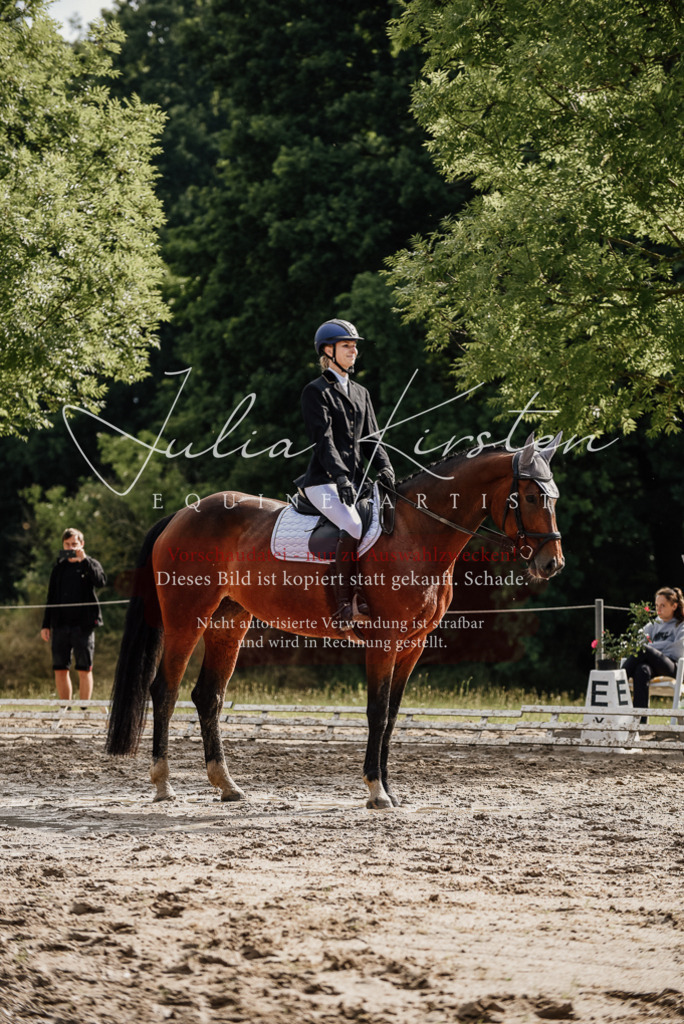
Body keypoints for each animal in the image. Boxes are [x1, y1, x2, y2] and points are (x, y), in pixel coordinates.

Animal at [106, 434, 564, 808]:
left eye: (554, 498)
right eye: (530, 498)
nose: (552, 564)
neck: (417, 533)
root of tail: (182, 515)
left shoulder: (413, 645)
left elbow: (393, 714)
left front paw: (390, 789)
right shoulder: (384, 642)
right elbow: (376, 711)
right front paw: (376, 791)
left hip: (228, 624)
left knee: (208, 696)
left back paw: (227, 785)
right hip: (186, 619)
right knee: (164, 691)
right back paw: (164, 784)